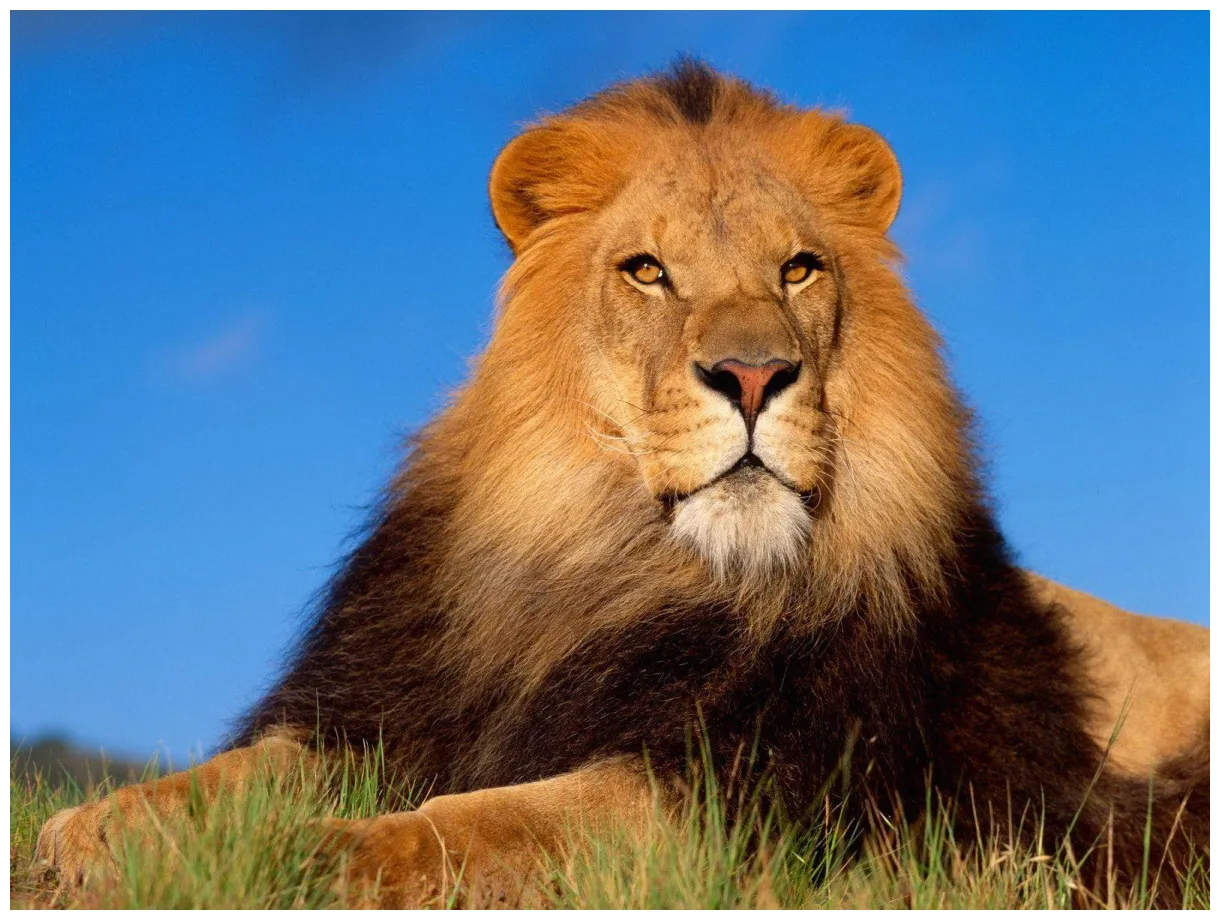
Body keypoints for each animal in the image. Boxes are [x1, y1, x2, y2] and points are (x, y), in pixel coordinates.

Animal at [36, 61, 1208, 907]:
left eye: (798, 269)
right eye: (647, 270)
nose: (753, 374)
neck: (611, 565)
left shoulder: (739, 796)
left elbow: (477, 824)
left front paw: (315, 859)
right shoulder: (383, 709)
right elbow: (241, 772)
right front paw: (97, 832)